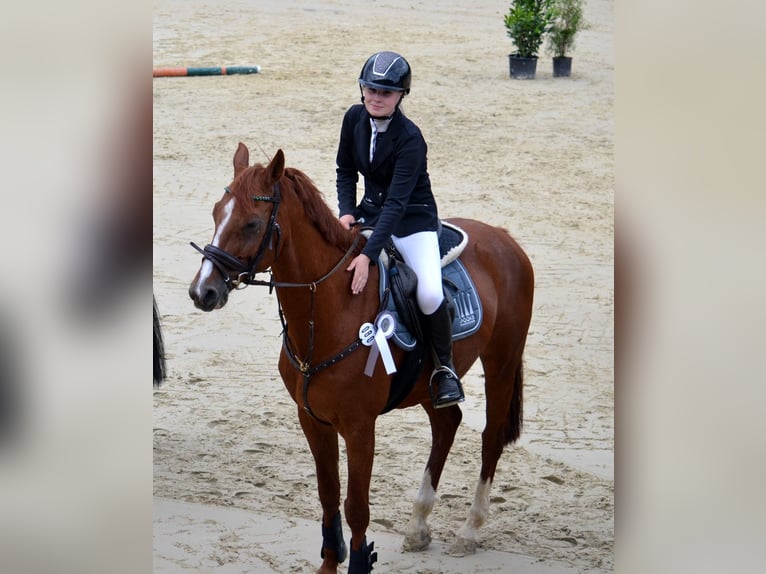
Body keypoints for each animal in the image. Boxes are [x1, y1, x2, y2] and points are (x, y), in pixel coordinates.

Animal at [188, 144, 536, 574]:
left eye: (252, 224)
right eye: (216, 213)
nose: (202, 291)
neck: (329, 313)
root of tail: (504, 237)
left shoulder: (358, 427)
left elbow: (356, 506)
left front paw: (357, 560)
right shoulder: (312, 420)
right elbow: (327, 494)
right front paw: (329, 563)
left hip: (501, 363)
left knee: (490, 438)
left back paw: (470, 530)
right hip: (429, 382)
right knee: (447, 423)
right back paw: (418, 525)